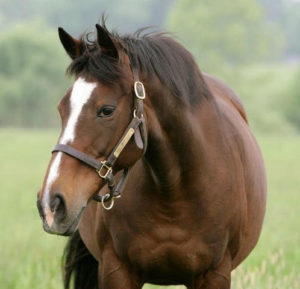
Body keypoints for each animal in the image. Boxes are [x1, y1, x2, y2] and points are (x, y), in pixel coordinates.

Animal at [36, 20, 266, 288]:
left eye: (106, 110)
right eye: (62, 108)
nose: (51, 203)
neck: (174, 192)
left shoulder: (215, 274)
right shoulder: (116, 271)